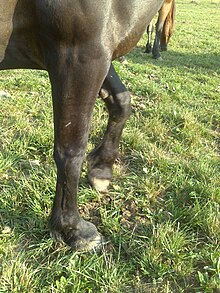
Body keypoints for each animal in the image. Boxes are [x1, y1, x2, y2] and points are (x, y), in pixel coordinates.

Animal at [0, 0, 164, 251]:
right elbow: (71, 151)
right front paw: (72, 229)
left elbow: (121, 102)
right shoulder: (82, 55)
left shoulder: (102, 48)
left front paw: (102, 168)